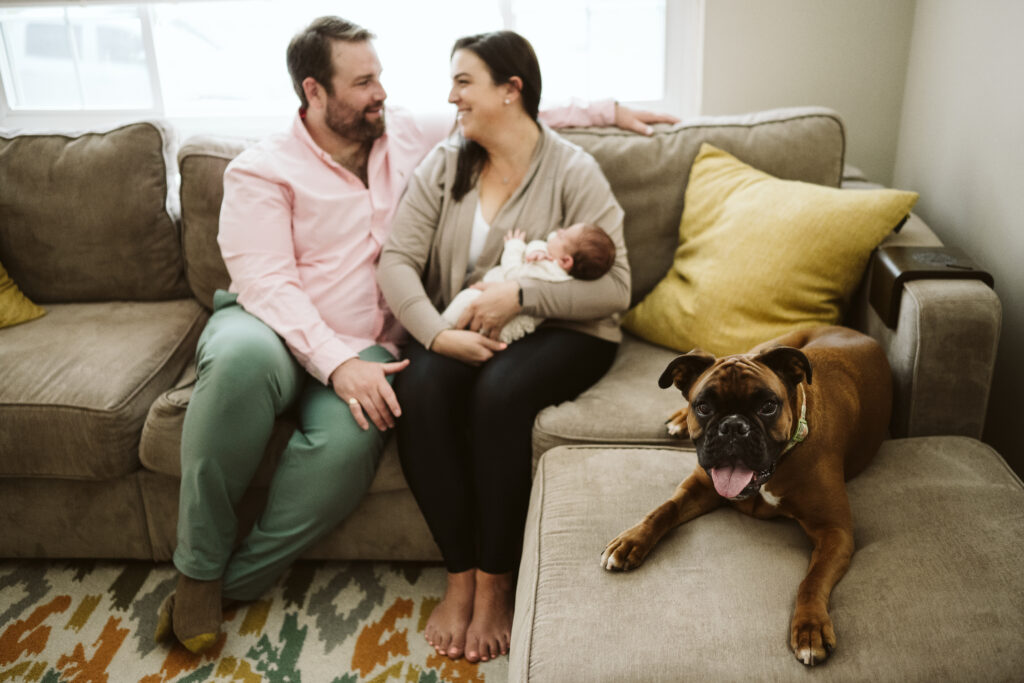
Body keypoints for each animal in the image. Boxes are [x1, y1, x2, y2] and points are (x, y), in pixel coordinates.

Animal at [598, 325, 888, 667]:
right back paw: (679, 419)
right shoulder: (698, 488)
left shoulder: (835, 532)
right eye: (703, 407)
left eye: (768, 406)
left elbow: (812, 580)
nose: (734, 426)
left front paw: (810, 628)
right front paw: (630, 541)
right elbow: (663, 510)